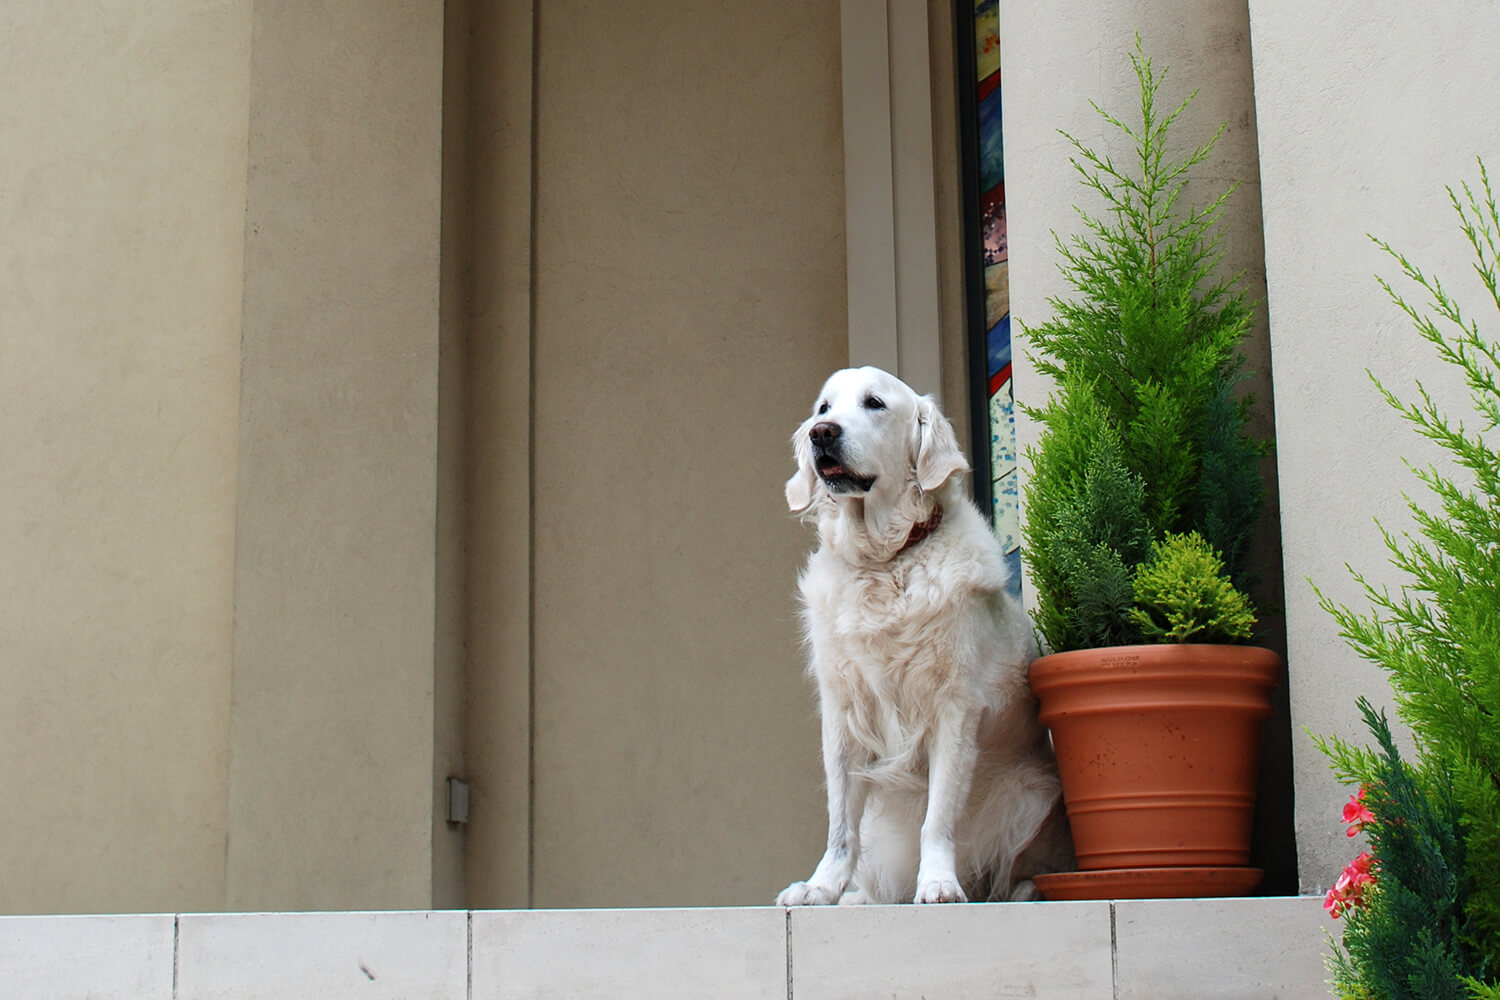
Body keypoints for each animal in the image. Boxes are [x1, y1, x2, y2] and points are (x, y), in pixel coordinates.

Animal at [774, 367, 1068, 905]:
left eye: (874, 403)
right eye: (824, 409)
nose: (822, 434)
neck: (884, 562)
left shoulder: (954, 708)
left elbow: (939, 818)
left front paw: (937, 883)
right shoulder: (842, 714)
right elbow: (840, 824)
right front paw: (821, 887)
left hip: (1030, 796)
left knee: (1015, 873)